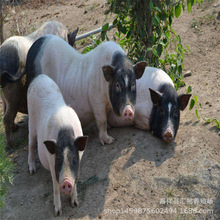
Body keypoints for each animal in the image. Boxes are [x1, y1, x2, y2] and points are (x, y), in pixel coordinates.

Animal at [0, 20, 78, 148]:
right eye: (73, 44)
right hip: (14, 91)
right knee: (6, 117)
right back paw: (12, 145)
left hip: (4, 94)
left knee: (6, 110)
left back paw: (15, 128)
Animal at [27, 75, 88, 216]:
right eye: (59, 158)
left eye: (74, 158)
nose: (66, 183)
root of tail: (39, 77)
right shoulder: (51, 160)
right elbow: (55, 185)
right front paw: (58, 212)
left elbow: (75, 177)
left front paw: (75, 204)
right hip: (31, 122)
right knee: (31, 144)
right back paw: (32, 171)